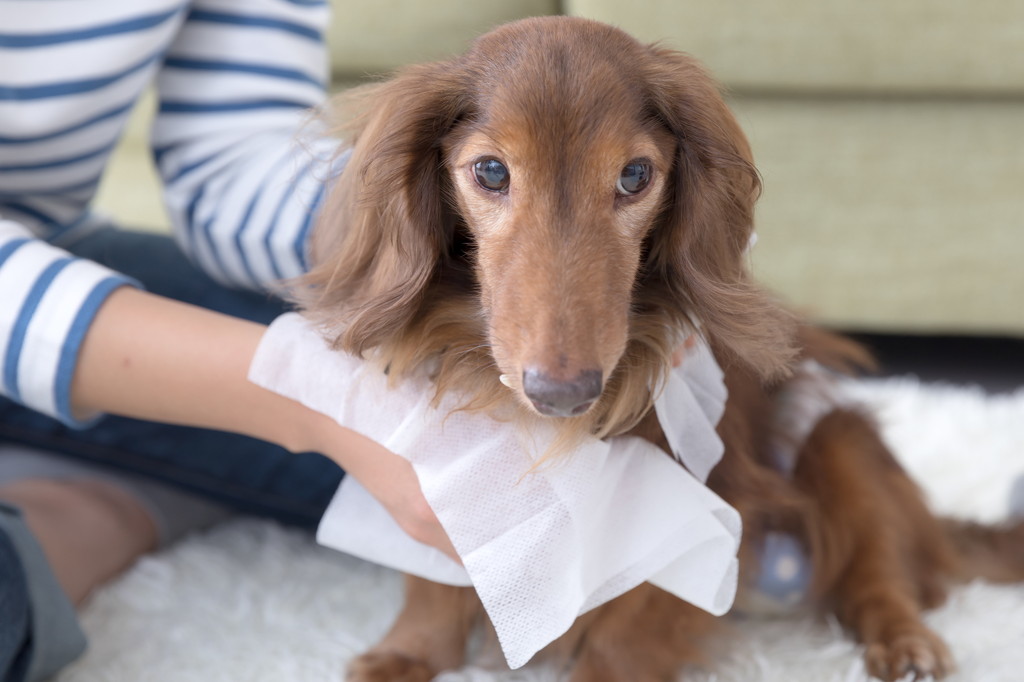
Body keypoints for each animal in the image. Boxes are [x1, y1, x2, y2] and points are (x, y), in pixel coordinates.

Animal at [296, 15, 1024, 679]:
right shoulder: (443, 480)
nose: (564, 393)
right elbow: (433, 584)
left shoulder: (701, 503)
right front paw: (405, 656)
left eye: (636, 175)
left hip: (836, 441)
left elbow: (637, 620)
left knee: (880, 573)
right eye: (492, 172)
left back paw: (906, 644)